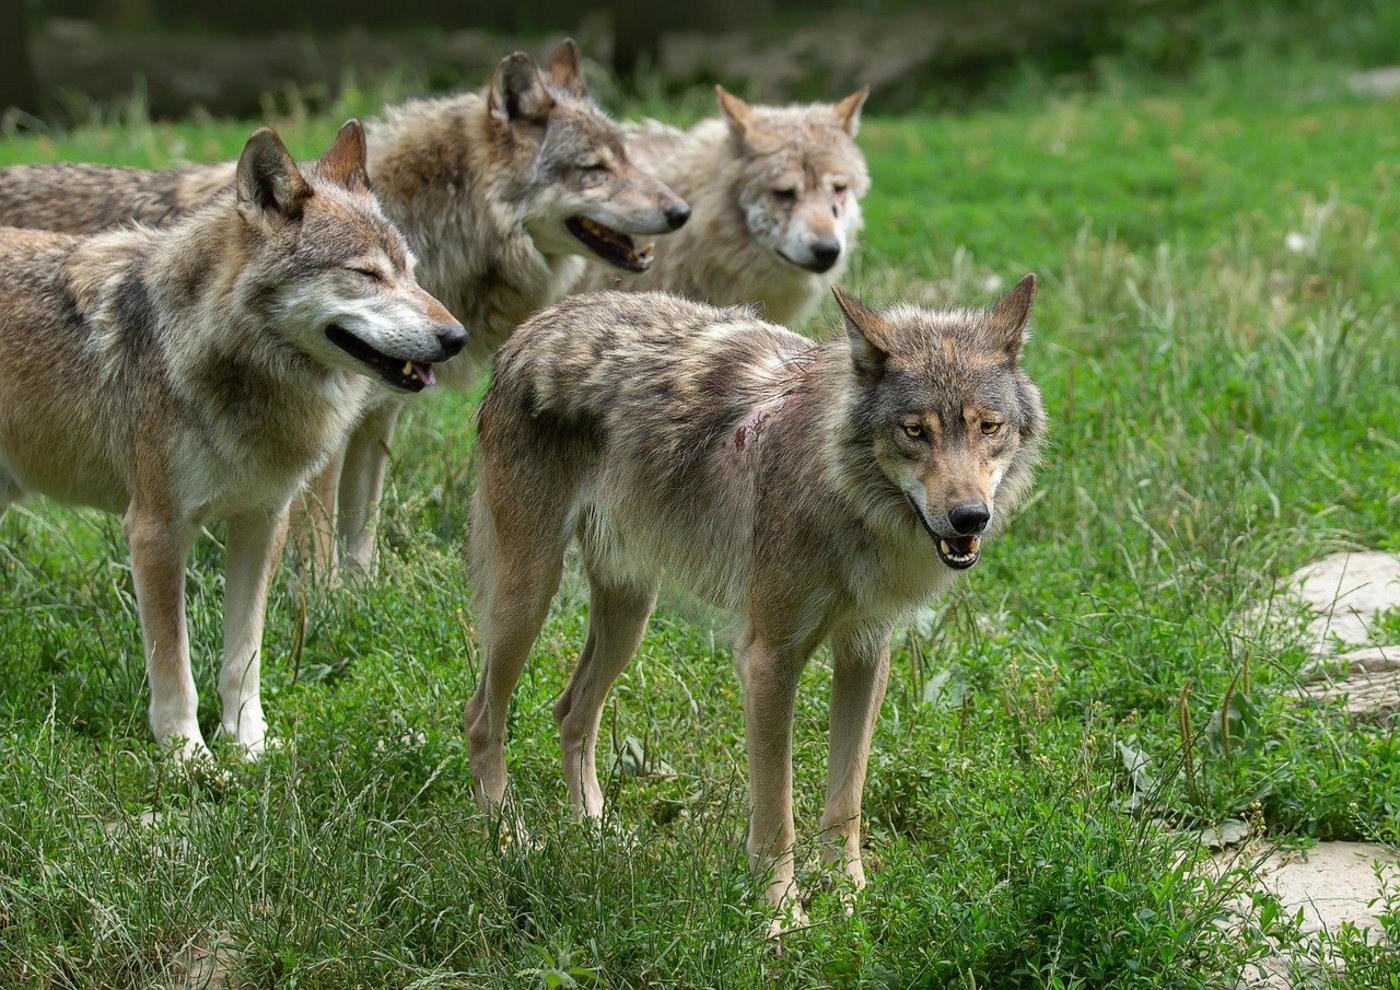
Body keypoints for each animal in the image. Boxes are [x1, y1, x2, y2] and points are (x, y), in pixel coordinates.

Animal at [0, 40, 689, 574]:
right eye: (594, 169)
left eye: (627, 157)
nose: (680, 211)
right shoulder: (319, 442)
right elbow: (317, 541)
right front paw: (322, 603)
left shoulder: (374, 420)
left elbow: (362, 529)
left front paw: (361, 595)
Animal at [0, 122, 463, 761]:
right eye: (366, 275)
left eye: (412, 273)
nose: (457, 337)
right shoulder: (155, 530)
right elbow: (175, 668)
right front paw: (188, 760)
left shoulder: (263, 521)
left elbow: (243, 659)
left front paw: (250, 749)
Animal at [465, 276, 1046, 930]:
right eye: (915, 430)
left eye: (988, 426)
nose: (970, 517)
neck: (842, 498)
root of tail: (533, 327)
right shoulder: (769, 660)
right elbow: (776, 814)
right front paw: (781, 919)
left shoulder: (866, 652)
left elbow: (846, 800)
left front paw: (850, 902)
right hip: (527, 598)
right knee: (481, 718)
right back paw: (510, 845)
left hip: (630, 612)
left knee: (570, 712)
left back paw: (598, 834)